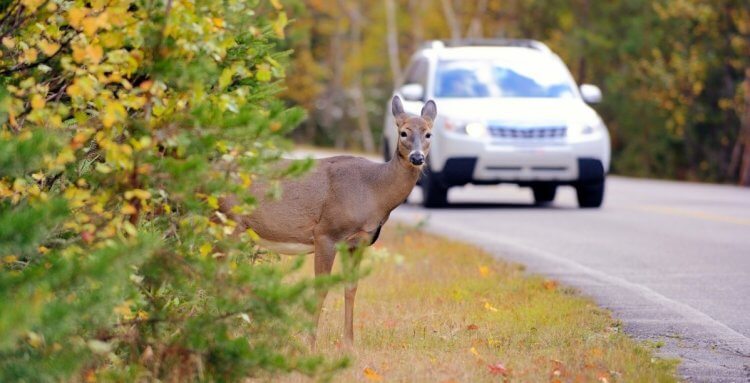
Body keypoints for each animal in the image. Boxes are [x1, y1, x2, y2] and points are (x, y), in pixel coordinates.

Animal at [220, 96, 438, 348]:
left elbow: (351, 287)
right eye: (403, 132)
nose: (417, 157)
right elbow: (321, 289)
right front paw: (310, 343)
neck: (373, 191)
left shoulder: (358, 242)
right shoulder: (326, 233)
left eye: (429, 133)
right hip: (229, 220)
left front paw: (349, 344)